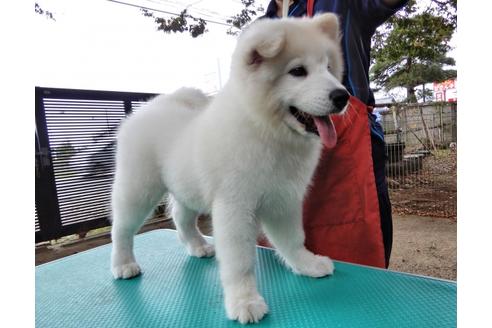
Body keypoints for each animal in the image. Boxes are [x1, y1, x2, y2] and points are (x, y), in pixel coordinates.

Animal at [111, 14, 350, 324]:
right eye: (298, 71)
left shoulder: (283, 199)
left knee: (181, 218)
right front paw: (244, 301)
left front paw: (306, 264)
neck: (266, 131)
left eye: (329, 68)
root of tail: (152, 106)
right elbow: (240, 261)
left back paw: (198, 246)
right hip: (138, 190)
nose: (342, 96)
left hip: (187, 188)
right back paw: (123, 264)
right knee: (122, 228)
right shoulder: (235, 206)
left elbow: (292, 239)